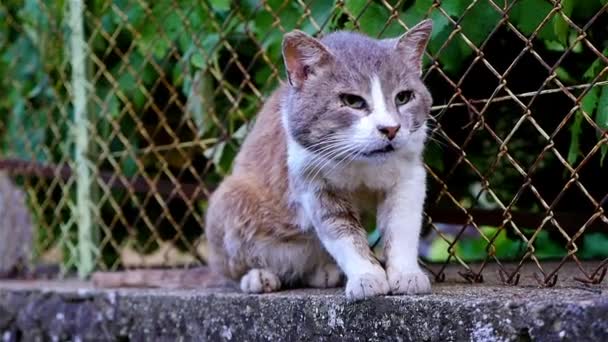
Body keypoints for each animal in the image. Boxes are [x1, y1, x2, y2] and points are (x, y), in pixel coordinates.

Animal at [92, 20, 434, 300]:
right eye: (352, 101)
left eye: (403, 97)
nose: (390, 128)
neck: (359, 164)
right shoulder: (312, 182)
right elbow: (343, 234)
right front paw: (366, 277)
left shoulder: (409, 176)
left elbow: (402, 229)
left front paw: (406, 274)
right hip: (229, 199)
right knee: (233, 270)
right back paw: (258, 277)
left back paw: (322, 272)